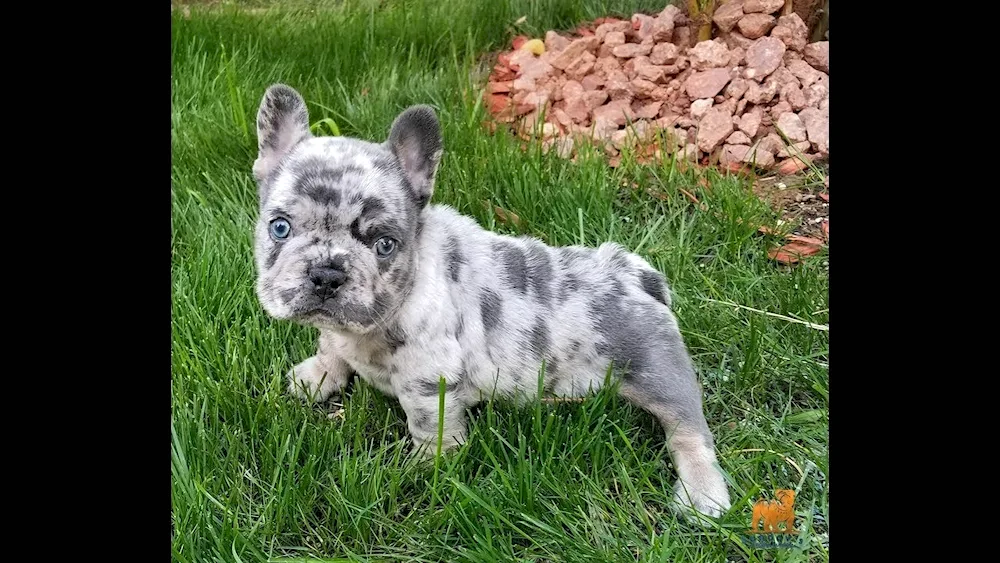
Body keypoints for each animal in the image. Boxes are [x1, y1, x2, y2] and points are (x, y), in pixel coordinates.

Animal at [252, 85, 728, 520]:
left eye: (385, 244)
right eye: (280, 228)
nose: (326, 273)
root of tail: (633, 275)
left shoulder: (428, 380)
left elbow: (427, 424)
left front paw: (428, 468)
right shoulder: (338, 331)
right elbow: (330, 346)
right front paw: (318, 376)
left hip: (658, 371)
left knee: (690, 430)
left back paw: (703, 495)